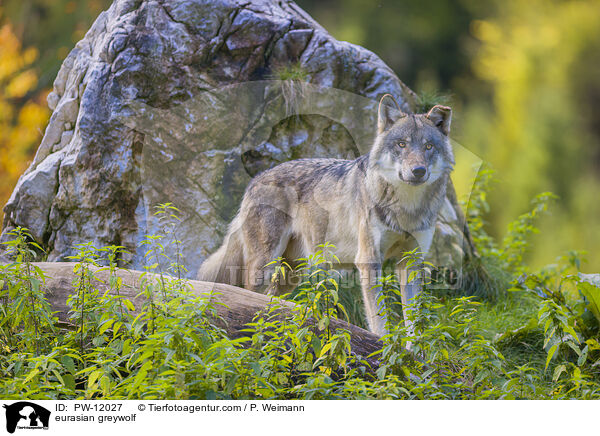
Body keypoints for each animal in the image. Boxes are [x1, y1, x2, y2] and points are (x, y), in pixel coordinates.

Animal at [198, 93, 454, 336]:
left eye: (428, 147)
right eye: (401, 144)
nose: (418, 171)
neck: (407, 207)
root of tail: (255, 180)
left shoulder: (411, 262)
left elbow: (414, 320)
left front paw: (414, 350)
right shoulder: (369, 260)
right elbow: (379, 317)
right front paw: (385, 346)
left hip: (294, 273)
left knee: (271, 298)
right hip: (264, 266)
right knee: (248, 296)